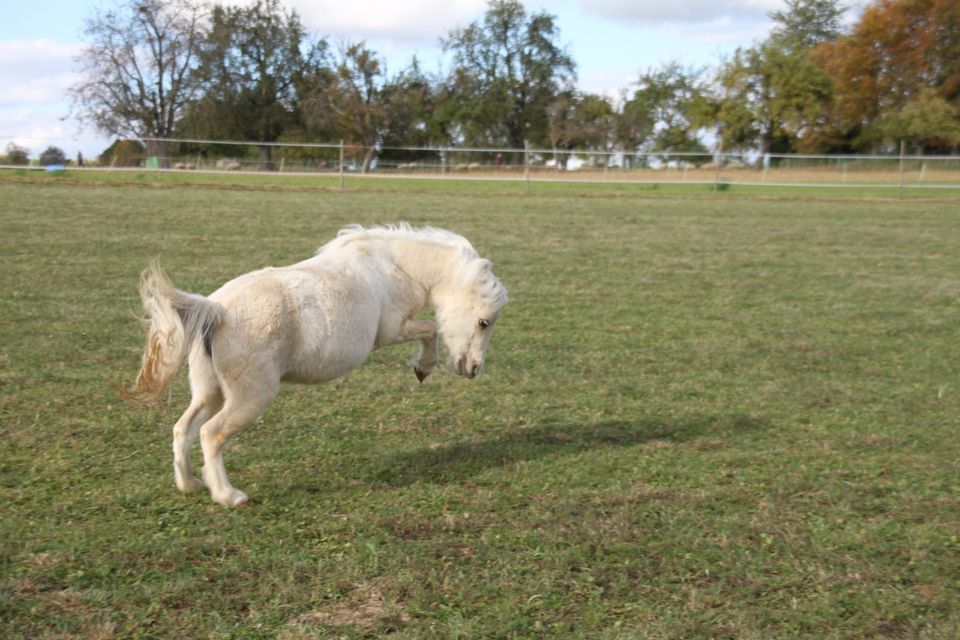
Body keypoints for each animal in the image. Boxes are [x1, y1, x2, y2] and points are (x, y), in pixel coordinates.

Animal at [125, 224, 510, 504]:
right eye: (484, 322)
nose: (473, 369)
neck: (395, 266)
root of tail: (215, 310)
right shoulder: (393, 330)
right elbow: (429, 330)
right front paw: (424, 368)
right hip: (249, 397)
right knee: (211, 433)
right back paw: (229, 496)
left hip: (210, 393)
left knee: (184, 428)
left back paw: (190, 484)